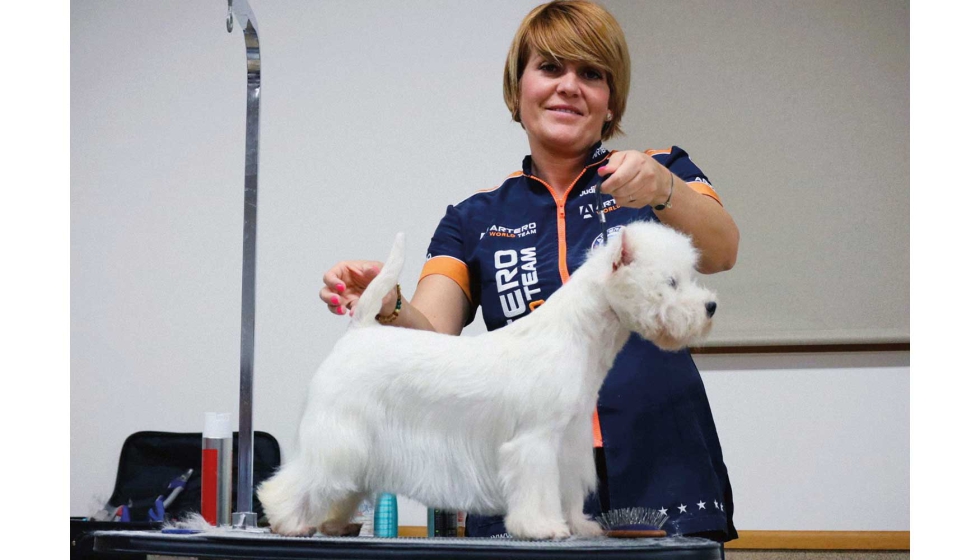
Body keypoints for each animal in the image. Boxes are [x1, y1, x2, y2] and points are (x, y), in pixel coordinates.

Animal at [258, 221, 720, 540]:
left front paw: (577, 525)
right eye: (671, 282)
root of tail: (359, 330)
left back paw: (331, 522)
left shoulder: (569, 442)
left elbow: (568, 489)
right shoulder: (535, 439)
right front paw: (541, 527)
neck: (579, 334)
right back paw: (287, 520)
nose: (711, 306)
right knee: (299, 479)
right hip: (338, 432)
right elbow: (536, 488)